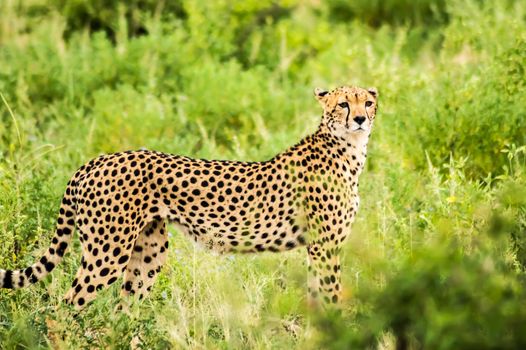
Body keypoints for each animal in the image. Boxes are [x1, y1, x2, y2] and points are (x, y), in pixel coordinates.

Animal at [0, 86, 380, 308]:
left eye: (368, 102)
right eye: (344, 104)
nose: (361, 119)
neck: (348, 148)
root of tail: (99, 159)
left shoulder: (318, 247)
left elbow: (318, 296)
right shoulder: (325, 245)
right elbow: (332, 295)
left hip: (149, 252)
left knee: (123, 310)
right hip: (107, 251)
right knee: (69, 305)